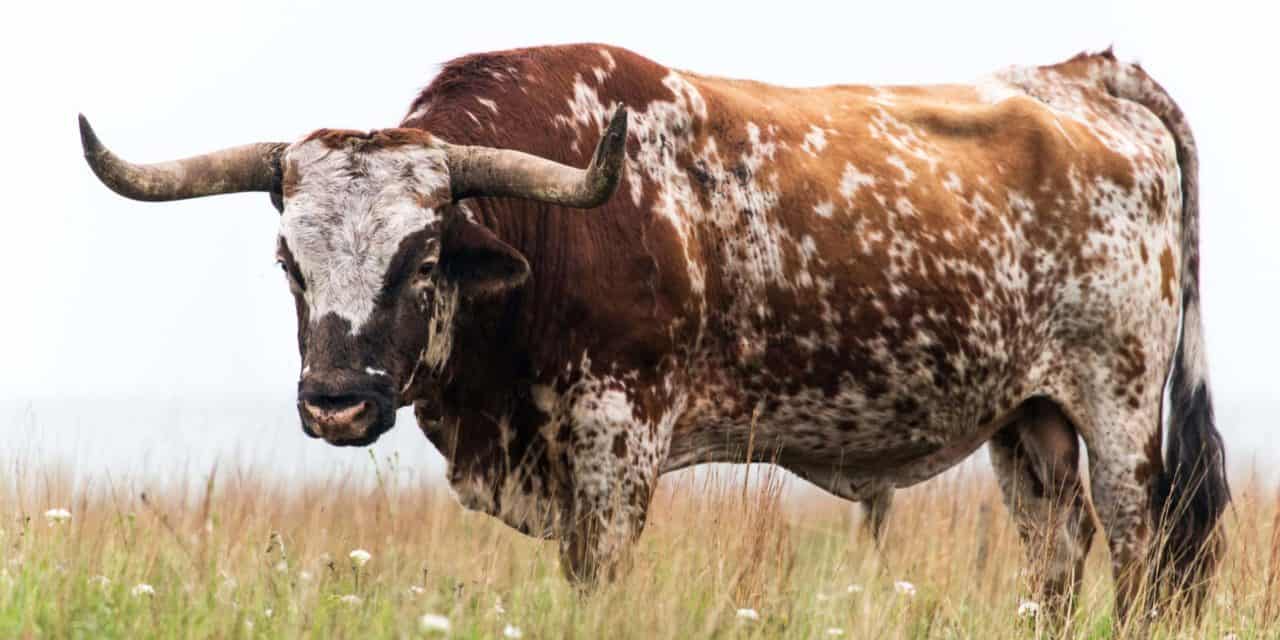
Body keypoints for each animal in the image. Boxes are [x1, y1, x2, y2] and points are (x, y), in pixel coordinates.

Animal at [79, 44, 1228, 620]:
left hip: (1121, 412)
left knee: (1137, 556)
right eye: (289, 260)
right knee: (1055, 555)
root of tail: (1080, 74)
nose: (336, 402)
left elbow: (598, 579)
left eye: (423, 257)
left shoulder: (614, 444)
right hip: (1026, 420)